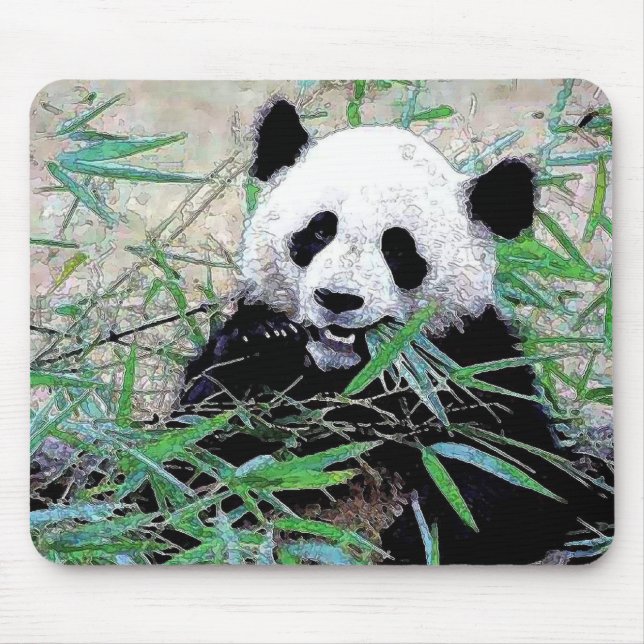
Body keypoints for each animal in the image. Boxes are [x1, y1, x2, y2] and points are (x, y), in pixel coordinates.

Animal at [177, 99, 611, 565]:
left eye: (398, 248)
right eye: (320, 229)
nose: (338, 298)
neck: (350, 375)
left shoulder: (470, 368)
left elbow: (514, 475)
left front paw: (411, 536)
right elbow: (195, 451)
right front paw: (263, 344)